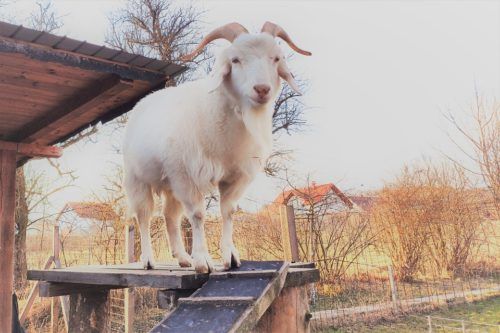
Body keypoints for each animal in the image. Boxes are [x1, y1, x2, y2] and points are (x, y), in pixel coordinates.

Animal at [123, 21, 310, 272]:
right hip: (139, 179)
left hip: (171, 182)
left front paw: (230, 257)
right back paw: (148, 260)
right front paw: (203, 261)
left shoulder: (235, 177)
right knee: (143, 216)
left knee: (170, 216)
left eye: (276, 58)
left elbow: (228, 212)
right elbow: (198, 215)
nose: (262, 89)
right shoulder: (188, 176)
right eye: (235, 60)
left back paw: (183, 258)